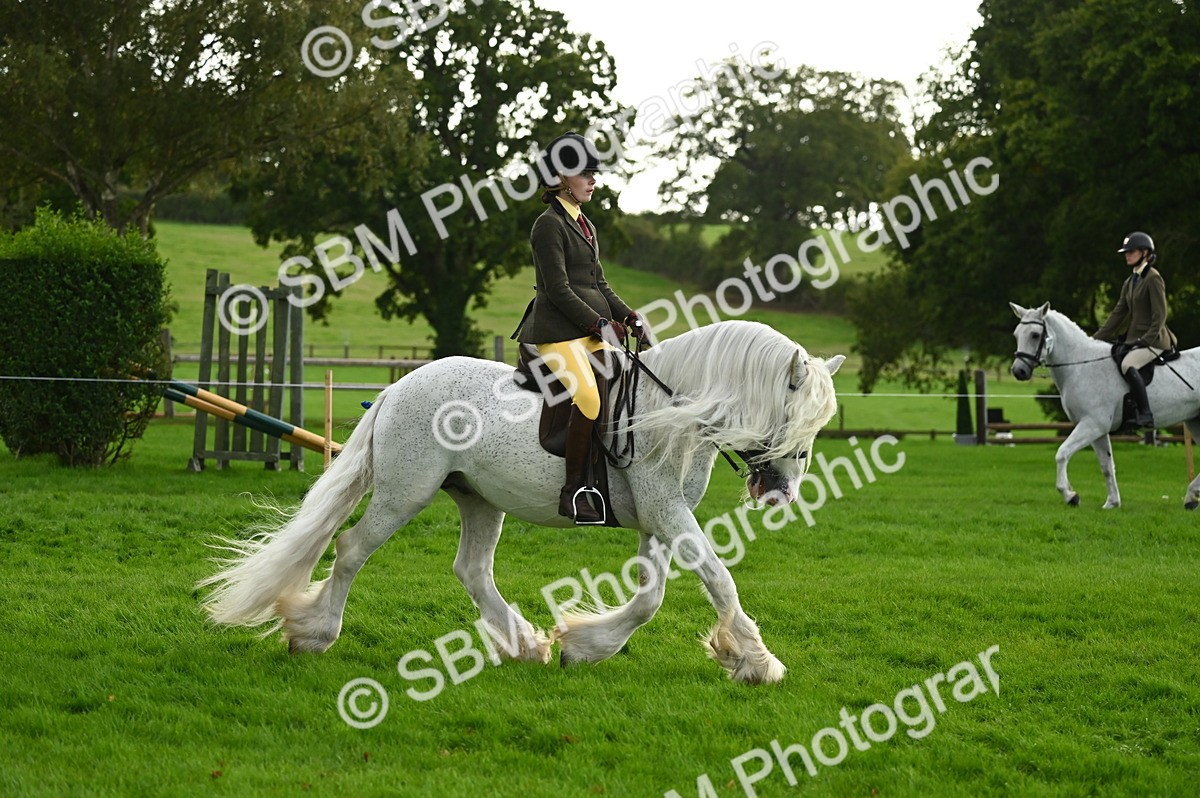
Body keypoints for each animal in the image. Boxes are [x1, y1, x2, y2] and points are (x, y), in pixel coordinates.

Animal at [198, 320, 846, 684]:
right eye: (791, 421)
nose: (781, 494)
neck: (672, 411)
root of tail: (399, 385)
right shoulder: (668, 514)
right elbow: (719, 580)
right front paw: (758, 664)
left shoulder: (659, 519)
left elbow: (649, 599)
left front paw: (583, 648)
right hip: (406, 492)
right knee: (353, 548)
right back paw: (315, 633)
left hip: (479, 499)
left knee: (471, 569)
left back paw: (525, 644)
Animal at [1009, 302, 1200, 509]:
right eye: (1016, 335)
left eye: (1035, 335)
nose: (1018, 371)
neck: (1080, 366)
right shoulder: (1097, 430)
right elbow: (1106, 466)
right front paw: (1112, 502)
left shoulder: (1092, 424)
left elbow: (1062, 453)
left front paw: (1069, 495)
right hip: (1194, 421)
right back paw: (1191, 497)